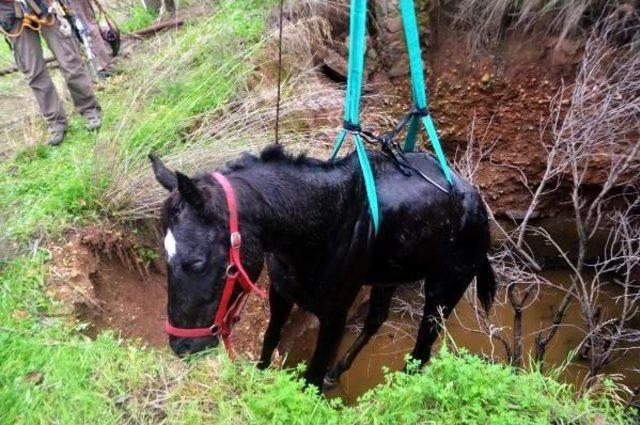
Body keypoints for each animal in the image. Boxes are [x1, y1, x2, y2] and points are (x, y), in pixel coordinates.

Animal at [150, 144, 496, 390]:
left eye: (196, 263)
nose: (181, 346)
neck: (320, 222)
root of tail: (479, 205)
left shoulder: (335, 316)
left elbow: (312, 378)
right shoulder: (281, 294)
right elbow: (270, 341)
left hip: (444, 290)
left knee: (421, 352)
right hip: (388, 278)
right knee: (376, 319)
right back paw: (339, 371)